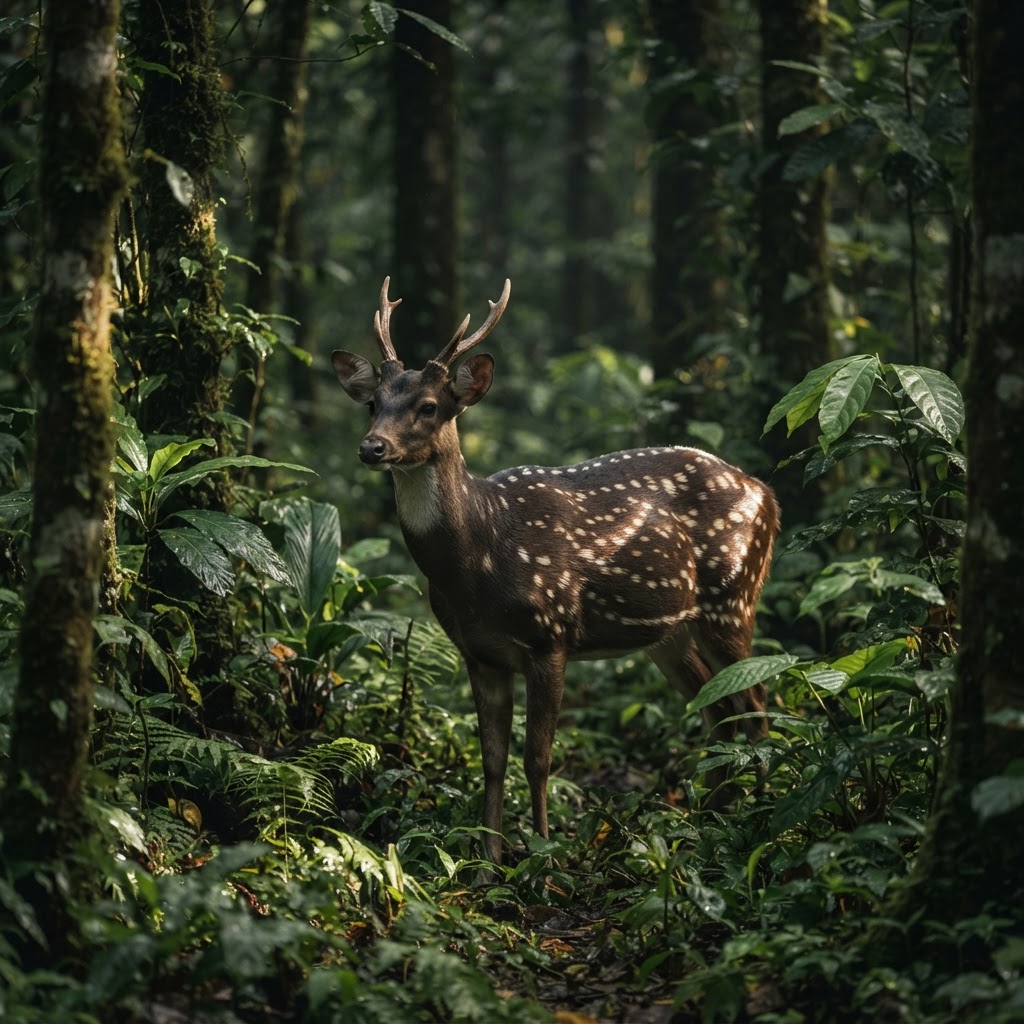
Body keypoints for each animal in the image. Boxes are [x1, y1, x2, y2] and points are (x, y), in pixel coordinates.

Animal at [332, 278, 780, 865]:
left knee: (756, 706)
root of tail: (768, 495)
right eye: (373, 405)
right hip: (670, 633)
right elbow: (492, 760)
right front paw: (489, 862)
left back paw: (764, 817)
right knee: (717, 705)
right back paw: (714, 820)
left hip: (733, 596)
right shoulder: (479, 653)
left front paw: (542, 860)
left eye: (429, 407)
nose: (372, 447)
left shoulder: (551, 635)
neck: (480, 558)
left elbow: (538, 760)